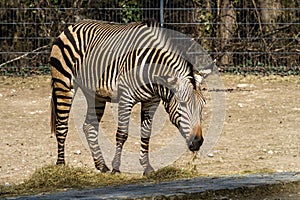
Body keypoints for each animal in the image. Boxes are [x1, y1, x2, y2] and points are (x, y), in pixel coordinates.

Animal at [49, 19, 209, 175]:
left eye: (203, 106)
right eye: (182, 104)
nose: (198, 142)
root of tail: (72, 25)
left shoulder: (152, 101)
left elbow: (146, 133)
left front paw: (146, 167)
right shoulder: (126, 98)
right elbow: (122, 134)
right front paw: (116, 168)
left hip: (94, 94)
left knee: (89, 126)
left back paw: (101, 165)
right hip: (63, 83)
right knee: (62, 125)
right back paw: (61, 165)